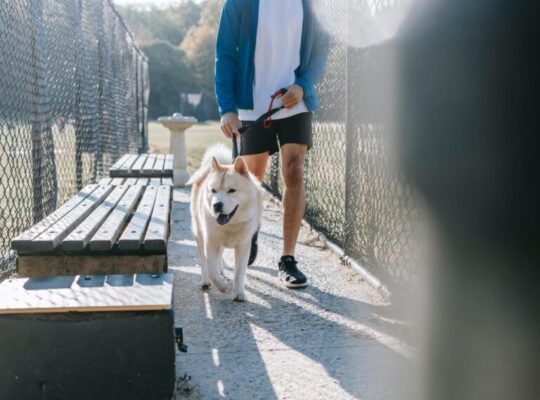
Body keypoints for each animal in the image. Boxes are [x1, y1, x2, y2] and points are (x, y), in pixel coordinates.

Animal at [188, 144, 264, 300]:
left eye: (232, 190)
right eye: (213, 190)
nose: (217, 205)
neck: (231, 224)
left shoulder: (243, 246)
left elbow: (239, 272)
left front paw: (239, 292)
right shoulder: (211, 243)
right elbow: (212, 270)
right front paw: (223, 287)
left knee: (220, 257)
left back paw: (223, 273)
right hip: (199, 235)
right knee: (204, 262)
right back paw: (206, 281)